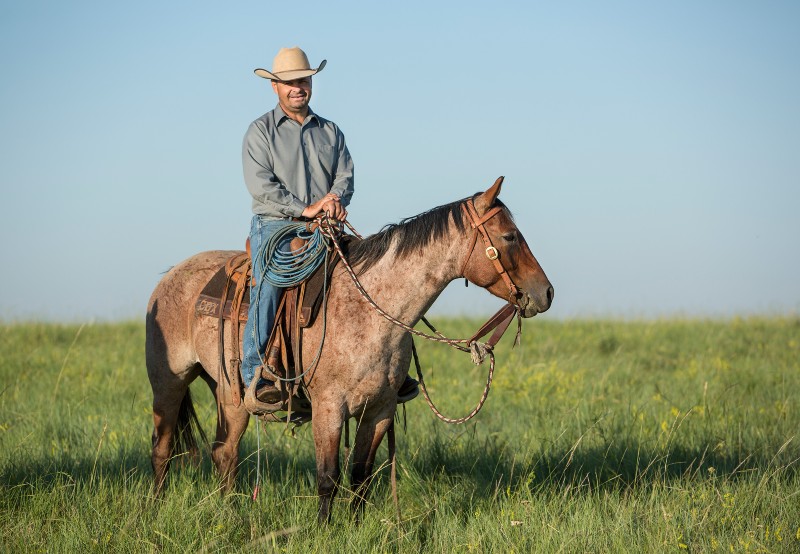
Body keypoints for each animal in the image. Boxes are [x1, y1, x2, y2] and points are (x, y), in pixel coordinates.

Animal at [145, 178, 552, 520]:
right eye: (510, 236)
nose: (545, 293)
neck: (372, 310)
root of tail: (171, 275)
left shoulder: (380, 410)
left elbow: (360, 474)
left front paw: (355, 526)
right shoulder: (329, 407)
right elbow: (328, 476)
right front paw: (324, 529)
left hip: (228, 394)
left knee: (224, 452)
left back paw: (227, 512)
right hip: (169, 382)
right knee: (164, 448)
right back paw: (156, 508)